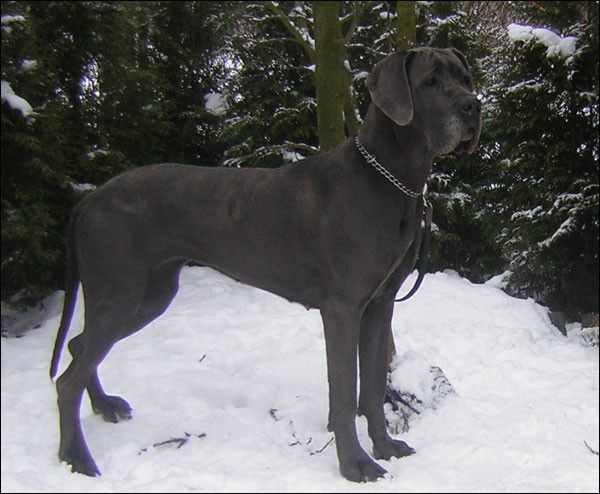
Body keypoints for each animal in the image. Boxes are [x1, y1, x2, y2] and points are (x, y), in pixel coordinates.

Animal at [50, 47, 481, 482]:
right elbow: (345, 396)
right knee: (68, 378)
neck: (391, 177)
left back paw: (104, 407)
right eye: (430, 82)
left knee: (78, 345)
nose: (472, 106)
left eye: (465, 78)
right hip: (121, 293)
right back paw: (77, 458)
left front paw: (385, 447)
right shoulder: (342, 309)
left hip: (152, 293)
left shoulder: (380, 304)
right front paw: (355, 464)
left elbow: (373, 387)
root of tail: (90, 198)